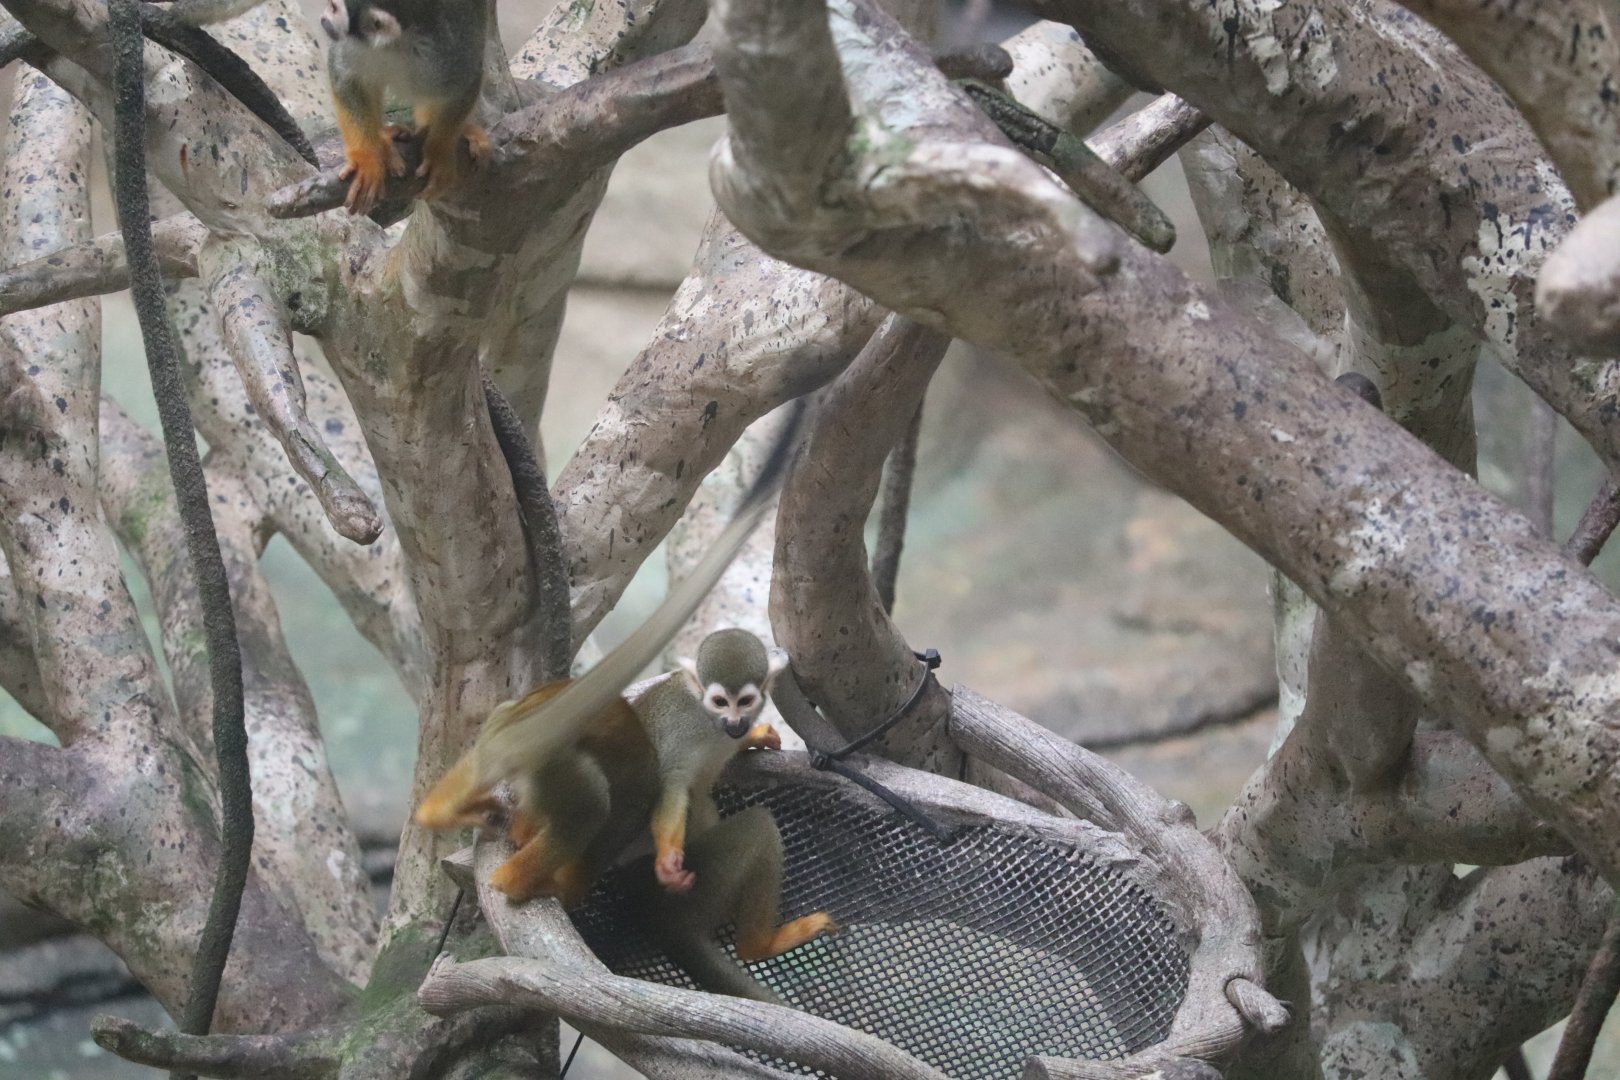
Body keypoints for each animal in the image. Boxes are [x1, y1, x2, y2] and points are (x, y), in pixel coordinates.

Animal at [320, 0, 490, 215]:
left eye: (334, 8)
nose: (323, 19)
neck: (398, 43)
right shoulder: (354, 44)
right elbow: (347, 79)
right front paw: (368, 159)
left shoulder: (449, 53)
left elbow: (466, 85)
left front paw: (438, 152)